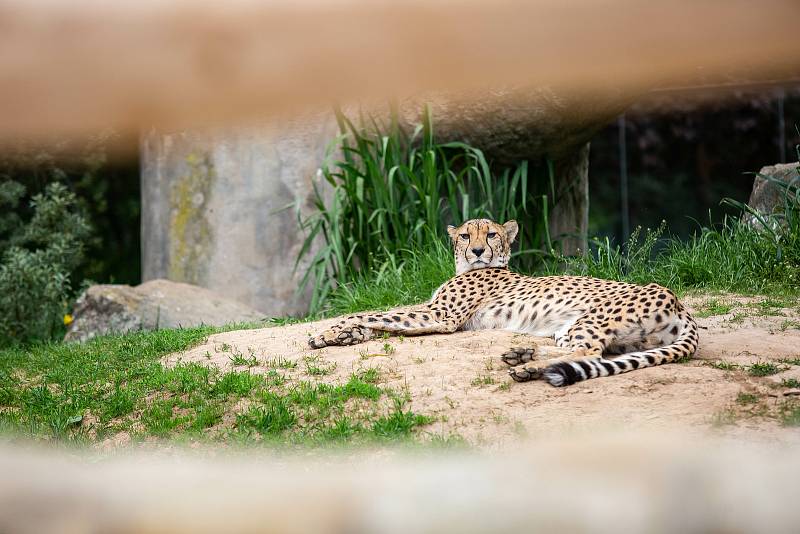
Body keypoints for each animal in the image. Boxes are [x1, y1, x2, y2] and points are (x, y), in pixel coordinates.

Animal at [310, 220, 696, 388]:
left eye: (491, 234)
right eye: (466, 235)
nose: (479, 250)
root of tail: (680, 304)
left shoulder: (441, 316)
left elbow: (377, 313)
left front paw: (331, 332)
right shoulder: (433, 311)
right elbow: (383, 318)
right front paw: (345, 335)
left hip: (590, 319)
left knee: (590, 353)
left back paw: (528, 366)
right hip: (585, 331)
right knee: (586, 353)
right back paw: (523, 357)